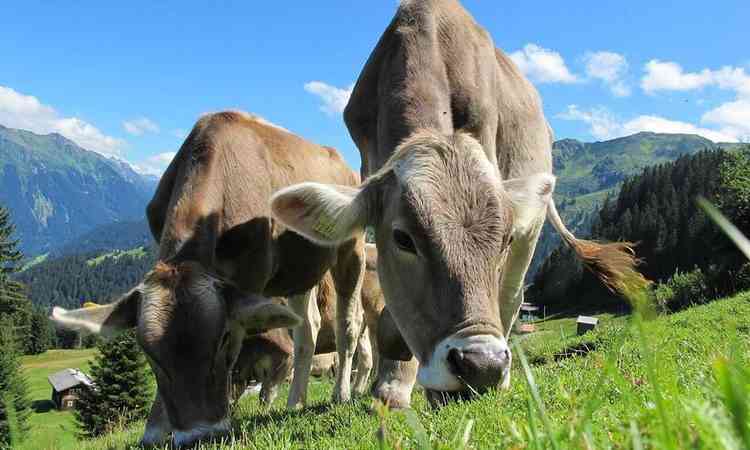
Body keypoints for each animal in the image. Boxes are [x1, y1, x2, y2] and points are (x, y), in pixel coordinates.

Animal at [50, 111, 368, 446]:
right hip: (299, 270)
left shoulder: (251, 278)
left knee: (349, 324)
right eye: (148, 353)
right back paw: (296, 401)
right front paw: (155, 429)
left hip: (352, 248)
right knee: (308, 328)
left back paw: (341, 394)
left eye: (224, 339)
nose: (199, 436)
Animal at [270, 0, 648, 400]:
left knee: (511, 296)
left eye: (503, 239)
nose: (484, 366)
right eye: (403, 238)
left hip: (532, 228)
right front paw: (393, 384)